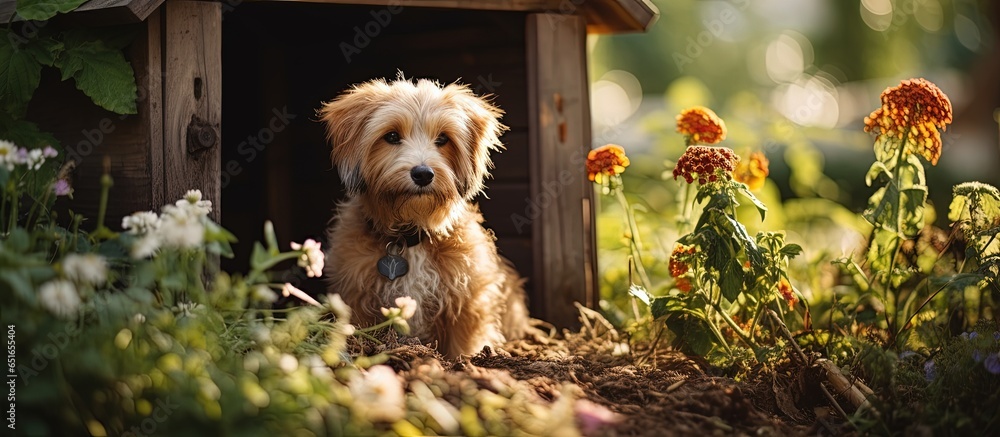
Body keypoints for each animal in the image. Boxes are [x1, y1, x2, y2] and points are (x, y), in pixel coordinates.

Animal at [318, 76, 532, 358]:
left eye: (442, 139)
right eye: (392, 136)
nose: (423, 174)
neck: (411, 236)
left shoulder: (468, 301)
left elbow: (463, 344)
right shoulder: (356, 297)